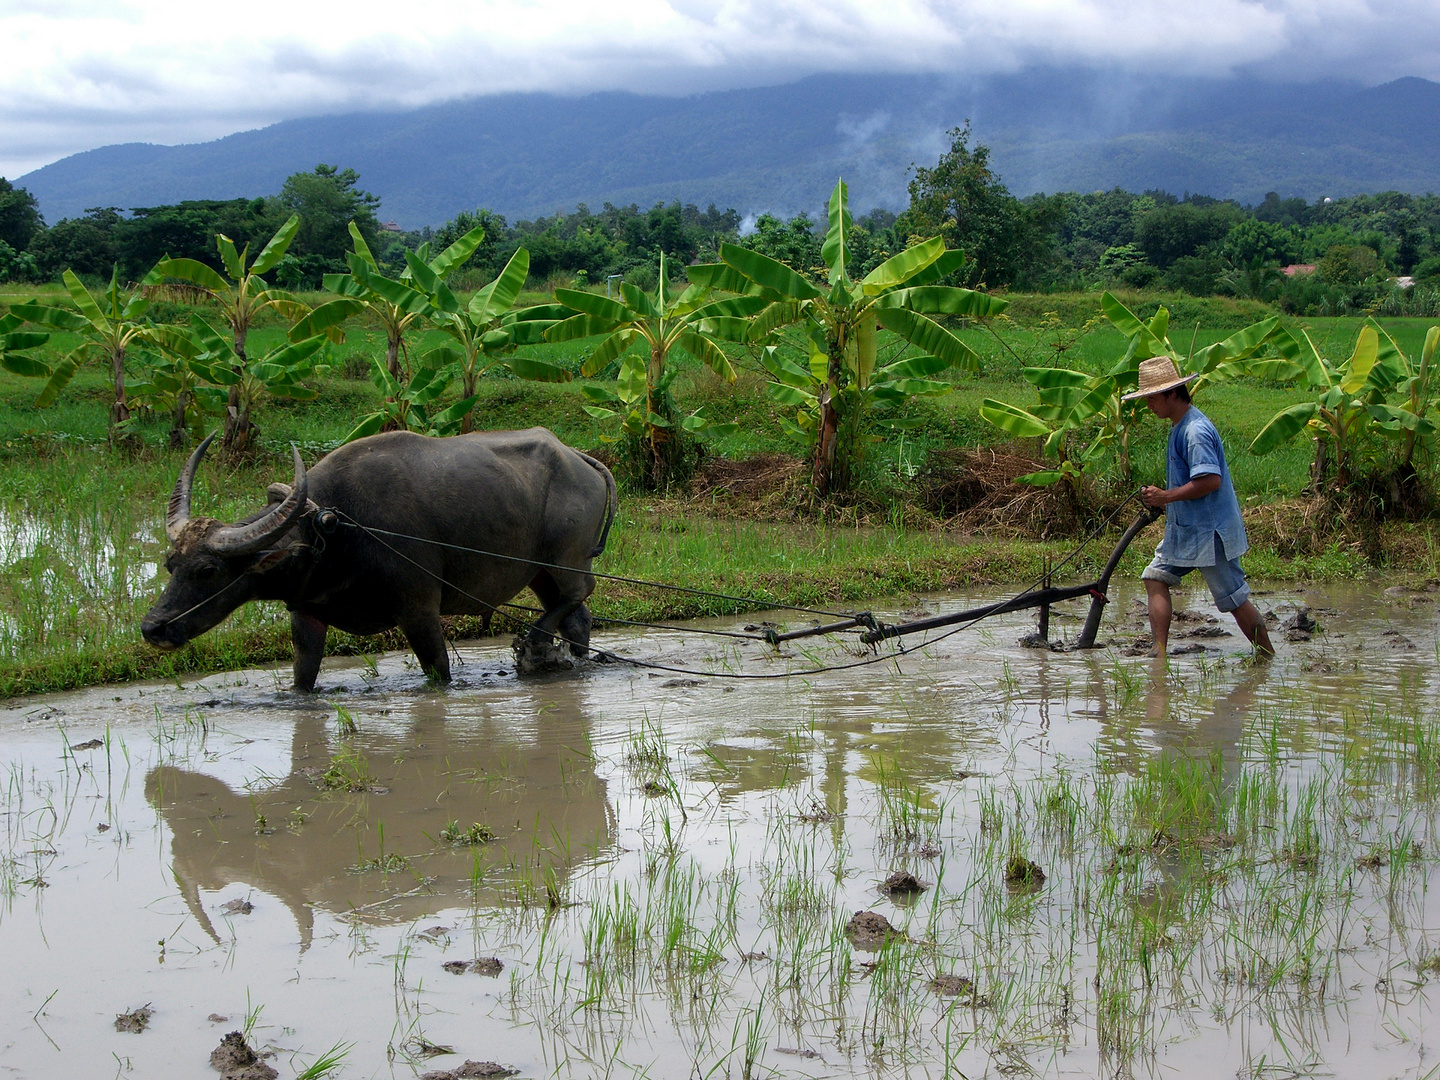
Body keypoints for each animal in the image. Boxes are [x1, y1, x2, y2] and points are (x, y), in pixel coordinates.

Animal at [143, 426, 616, 688]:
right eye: (170, 564)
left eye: (207, 569)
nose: (152, 628)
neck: (331, 529)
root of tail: (579, 459)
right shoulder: (307, 614)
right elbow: (303, 676)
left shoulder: (419, 610)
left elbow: (438, 670)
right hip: (539, 571)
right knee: (577, 616)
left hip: (567, 558)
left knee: (579, 592)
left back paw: (535, 641)